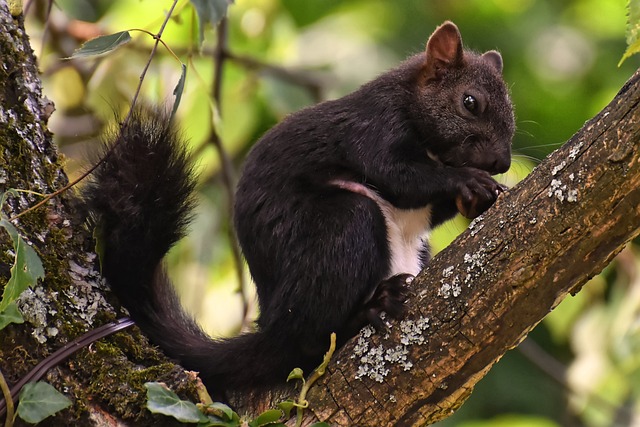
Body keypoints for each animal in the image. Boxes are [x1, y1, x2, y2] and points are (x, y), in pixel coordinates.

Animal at [85, 21, 516, 398]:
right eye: (470, 103)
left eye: (511, 110)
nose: (501, 162)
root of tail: (273, 326)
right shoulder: (373, 129)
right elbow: (400, 176)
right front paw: (468, 181)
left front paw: (482, 196)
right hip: (343, 228)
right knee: (308, 342)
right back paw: (368, 309)